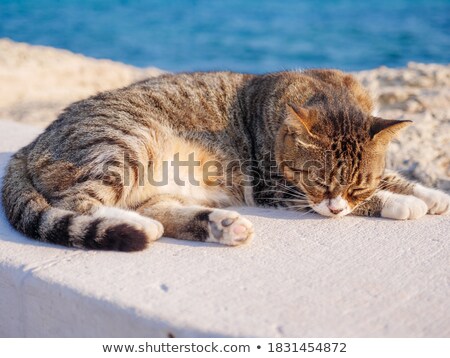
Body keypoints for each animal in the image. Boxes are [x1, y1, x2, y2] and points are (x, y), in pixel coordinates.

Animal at [1, 68, 448, 250]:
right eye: (318, 182)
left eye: (356, 184)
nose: (337, 206)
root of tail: (33, 141)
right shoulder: (278, 187)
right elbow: (378, 196)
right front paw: (402, 202)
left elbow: (391, 176)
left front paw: (430, 194)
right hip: (125, 143)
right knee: (77, 203)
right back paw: (138, 227)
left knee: (158, 211)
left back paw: (220, 225)